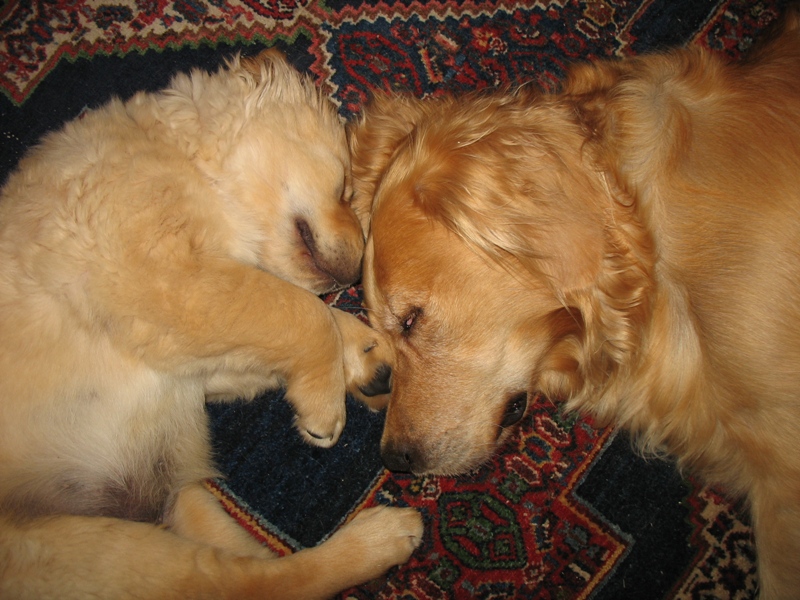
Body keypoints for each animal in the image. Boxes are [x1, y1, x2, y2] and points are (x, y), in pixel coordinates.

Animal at [0, 50, 422, 599]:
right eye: (348, 188)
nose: (353, 275)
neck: (199, 172)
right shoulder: (166, 279)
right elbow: (300, 312)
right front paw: (325, 403)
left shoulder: (187, 352)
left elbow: (301, 316)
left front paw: (368, 358)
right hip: (89, 550)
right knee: (251, 582)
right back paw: (381, 539)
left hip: (181, 506)